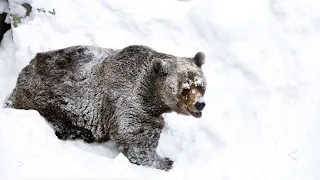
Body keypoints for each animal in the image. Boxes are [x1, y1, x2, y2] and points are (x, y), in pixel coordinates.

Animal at [4, 44, 208, 170]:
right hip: (47, 100)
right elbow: (137, 138)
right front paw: (164, 162)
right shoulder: (131, 103)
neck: (153, 96)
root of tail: (25, 70)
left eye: (201, 85)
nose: (200, 104)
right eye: (185, 88)